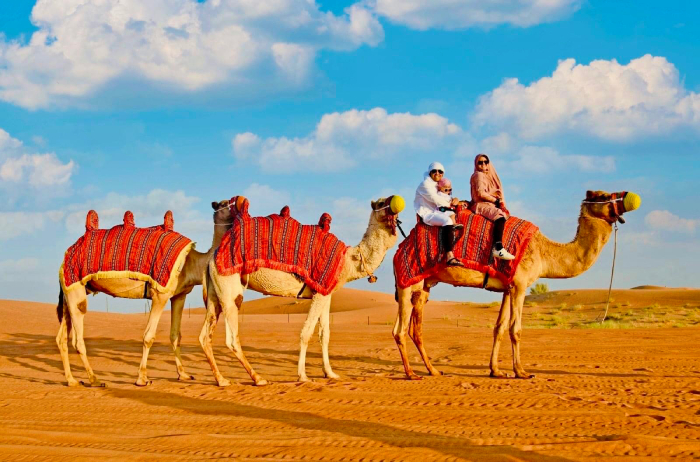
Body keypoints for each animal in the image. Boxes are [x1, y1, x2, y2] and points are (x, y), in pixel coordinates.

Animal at [56, 200, 233, 387]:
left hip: (70, 292)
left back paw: (72, 381)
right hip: (75, 286)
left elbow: (175, 335)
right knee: (77, 337)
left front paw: (184, 375)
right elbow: (149, 336)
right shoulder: (159, 294)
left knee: (61, 338)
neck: (191, 262)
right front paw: (142, 379)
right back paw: (94, 380)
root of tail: (66, 256)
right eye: (226, 204)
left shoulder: (179, 295)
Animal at [200, 195, 405, 386]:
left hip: (215, 295)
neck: (348, 261)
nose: (395, 203)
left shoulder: (325, 292)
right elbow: (306, 333)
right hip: (230, 288)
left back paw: (222, 380)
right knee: (231, 338)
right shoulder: (320, 290)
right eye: (381, 204)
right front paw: (303, 376)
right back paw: (258, 378)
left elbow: (325, 334)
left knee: (204, 336)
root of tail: (212, 258)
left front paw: (330, 373)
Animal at [393, 190, 641, 380]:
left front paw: (495, 371)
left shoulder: (507, 287)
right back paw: (411, 374)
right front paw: (521, 371)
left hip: (423, 285)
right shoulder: (520, 285)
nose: (630, 198)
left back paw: (433, 371)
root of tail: (401, 246)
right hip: (408, 280)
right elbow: (516, 329)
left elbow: (499, 327)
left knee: (415, 328)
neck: (543, 251)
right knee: (400, 330)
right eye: (604, 196)